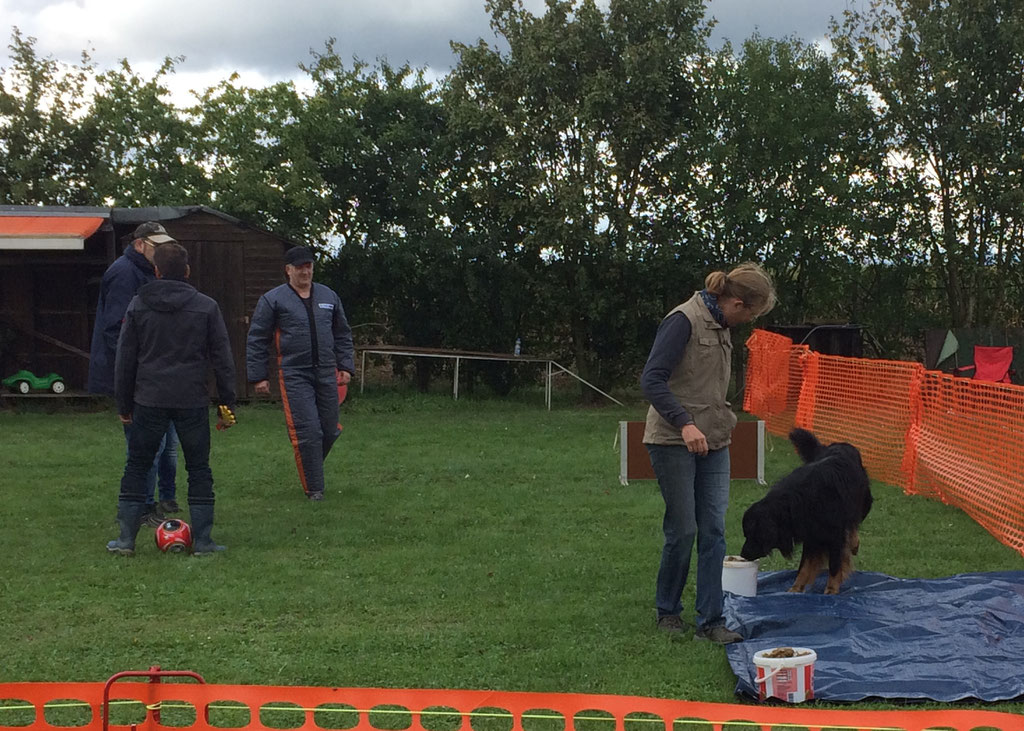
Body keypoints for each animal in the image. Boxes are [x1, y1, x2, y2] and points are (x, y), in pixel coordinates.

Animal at [737, 427, 872, 593]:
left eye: (754, 535)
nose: (743, 554)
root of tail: (841, 444)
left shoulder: (835, 536)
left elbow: (834, 565)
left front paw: (831, 590)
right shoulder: (810, 535)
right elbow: (804, 566)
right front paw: (795, 588)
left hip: (864, 502)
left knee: (854, 524)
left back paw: (854, 544)